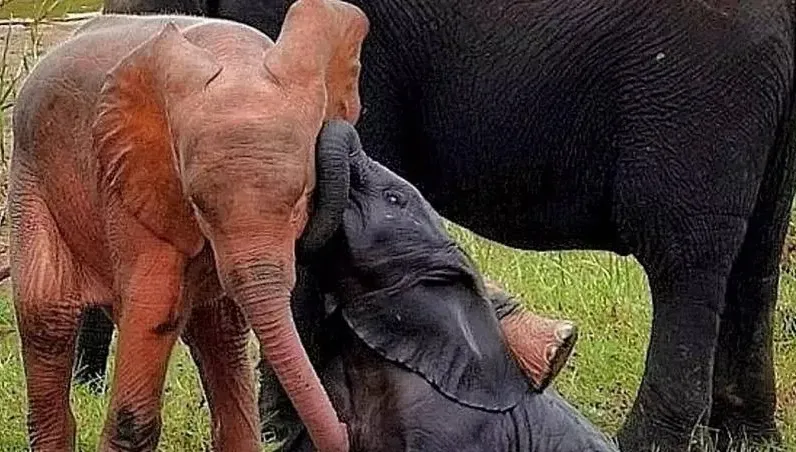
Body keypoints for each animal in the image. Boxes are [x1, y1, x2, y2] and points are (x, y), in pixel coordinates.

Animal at [9, 6, 370, 451]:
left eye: (303, 198)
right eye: (197, 206)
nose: (347, 431)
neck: (236, 59)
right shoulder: (132, 183)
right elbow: (154, 307)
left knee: (220, 331)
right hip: (31, 179)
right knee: (48, 316)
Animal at [90, 0, 796, 450]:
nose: (89, 384)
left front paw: (279, 429)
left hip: (698, 92)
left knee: (684, 256)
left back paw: (649, 443)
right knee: (756, 256)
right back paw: (746, 436)